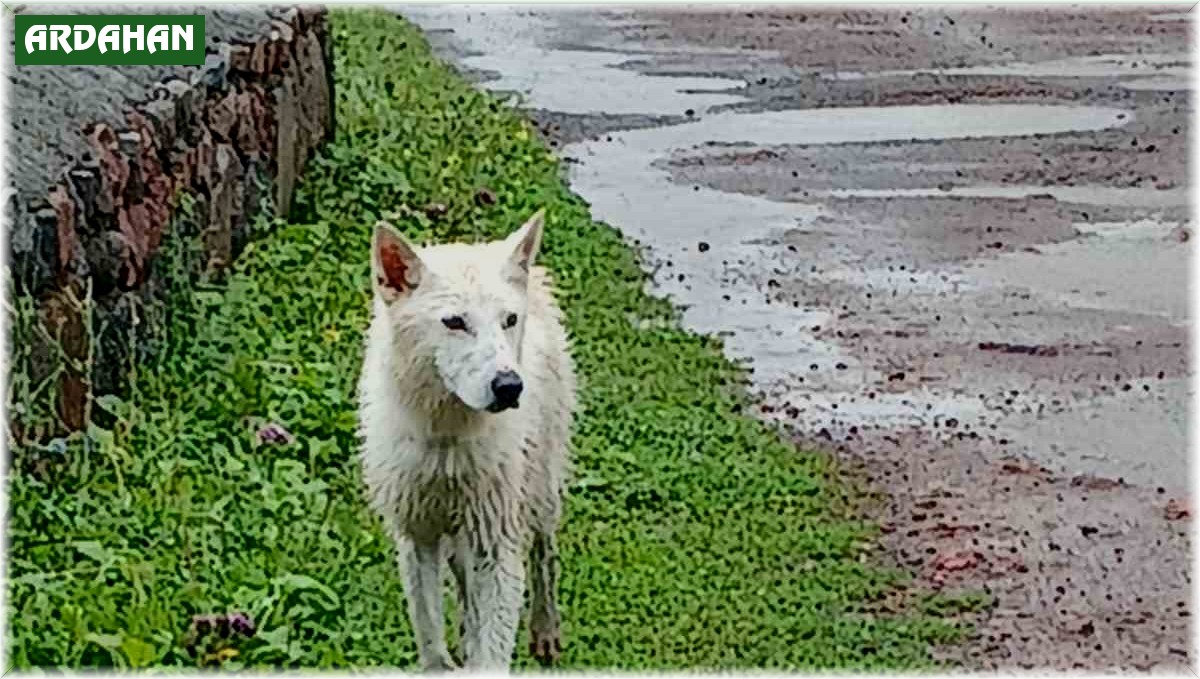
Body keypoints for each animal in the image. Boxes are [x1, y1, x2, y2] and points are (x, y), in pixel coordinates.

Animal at [355, 213, 576, 676]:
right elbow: (432, 641)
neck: (448, 440)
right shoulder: (417, 538)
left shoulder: (498, 542)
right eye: (454, 322)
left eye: (509, 320)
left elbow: (492, 648)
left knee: (544, 555)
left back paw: (545, 632)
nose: (509, 387)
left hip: (540, 494)